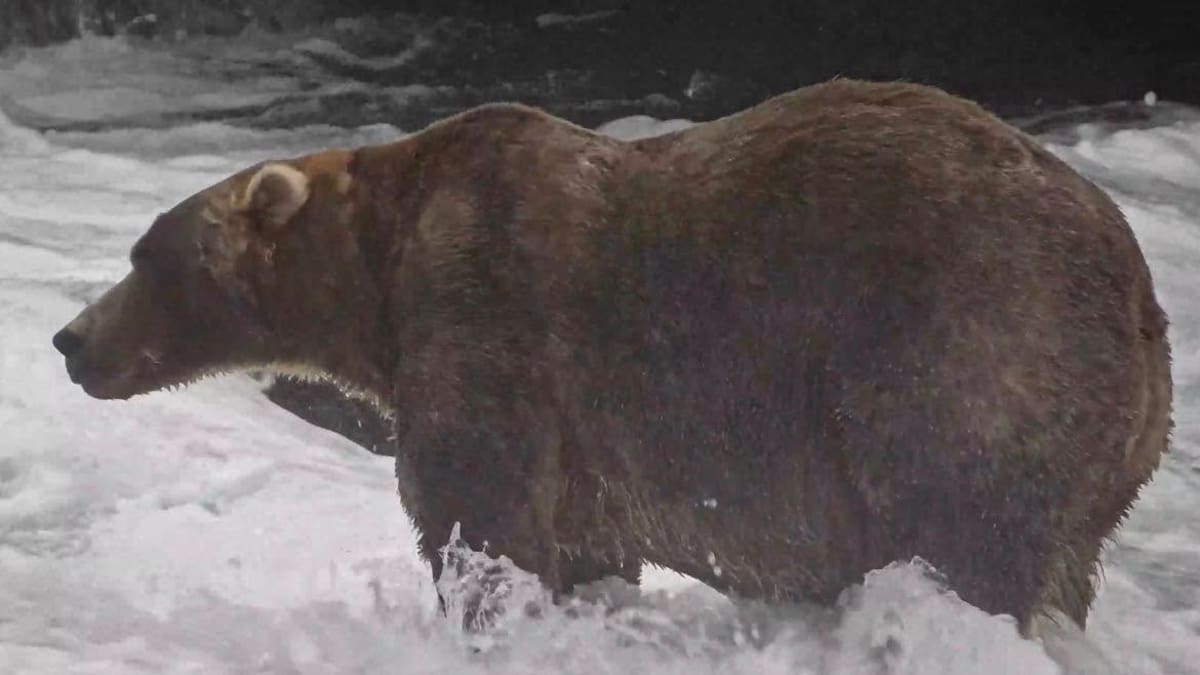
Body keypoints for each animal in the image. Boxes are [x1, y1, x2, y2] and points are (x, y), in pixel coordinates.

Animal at [52, 79, 1172, 635]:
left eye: (145, 254)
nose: (70, 340)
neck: (378, 274)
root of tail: (1139, 288)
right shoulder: (585, 445)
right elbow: (583, 545)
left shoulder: (489, 318)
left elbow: (479, 515)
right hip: (1104, 448)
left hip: (964, 347)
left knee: (964, 526)